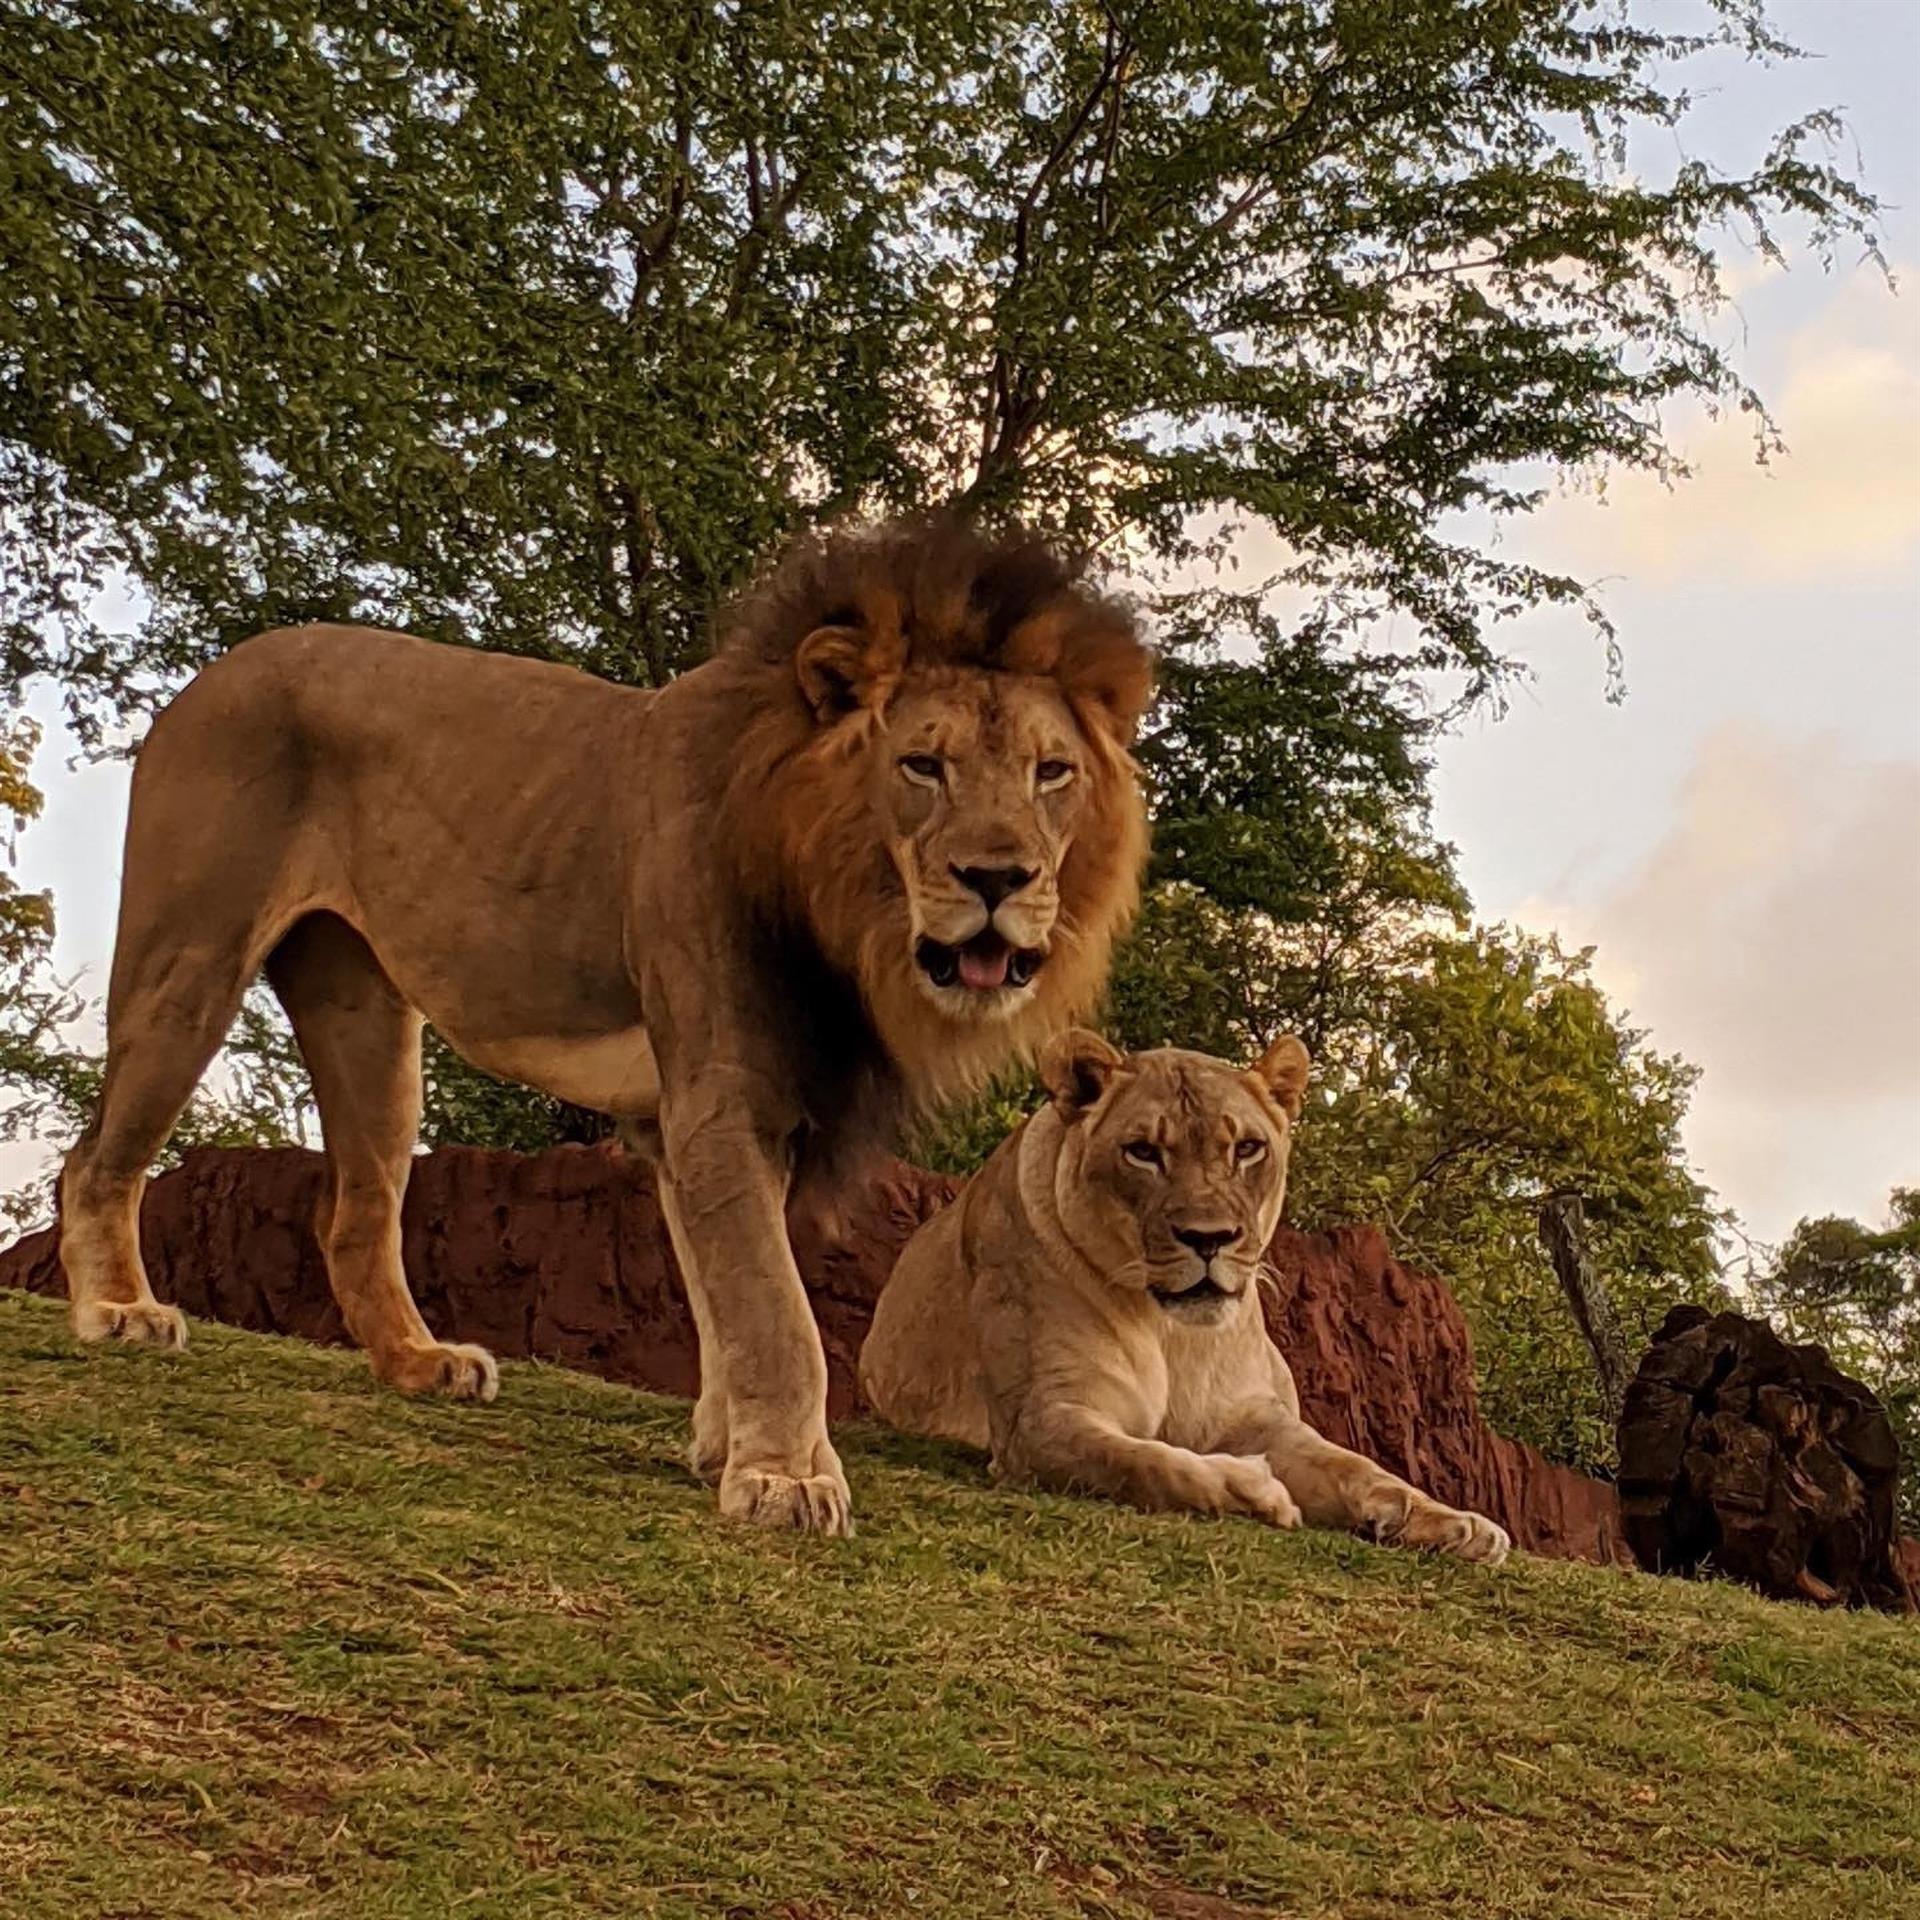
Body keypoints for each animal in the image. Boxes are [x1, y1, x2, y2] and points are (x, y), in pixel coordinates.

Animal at [60, 514, 1152, 1528]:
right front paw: (786, 1476)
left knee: (355, 1212)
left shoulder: (688, 1120)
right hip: (189, 962)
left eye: (1051, 773)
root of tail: (215, 670)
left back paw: (417, 1363)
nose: (999, 879)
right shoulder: (721, 1099)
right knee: (97, 1157)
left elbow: (720, 1295)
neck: (842, 899)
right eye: (925, 766)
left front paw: (724, 1448)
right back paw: (118, 1310)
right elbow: (776, 1308)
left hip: (369, 1019)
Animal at [864, 1036, 1505, 1559]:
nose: (1209, 1238)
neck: (1171, 1329)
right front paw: (1256, 1488)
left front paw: (1451, 1521)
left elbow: (1352, 1464)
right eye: (1143, 1152)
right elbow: (1148, 1464)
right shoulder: (1041, 1420)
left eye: (1247, 1148)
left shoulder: (1254, 1417)